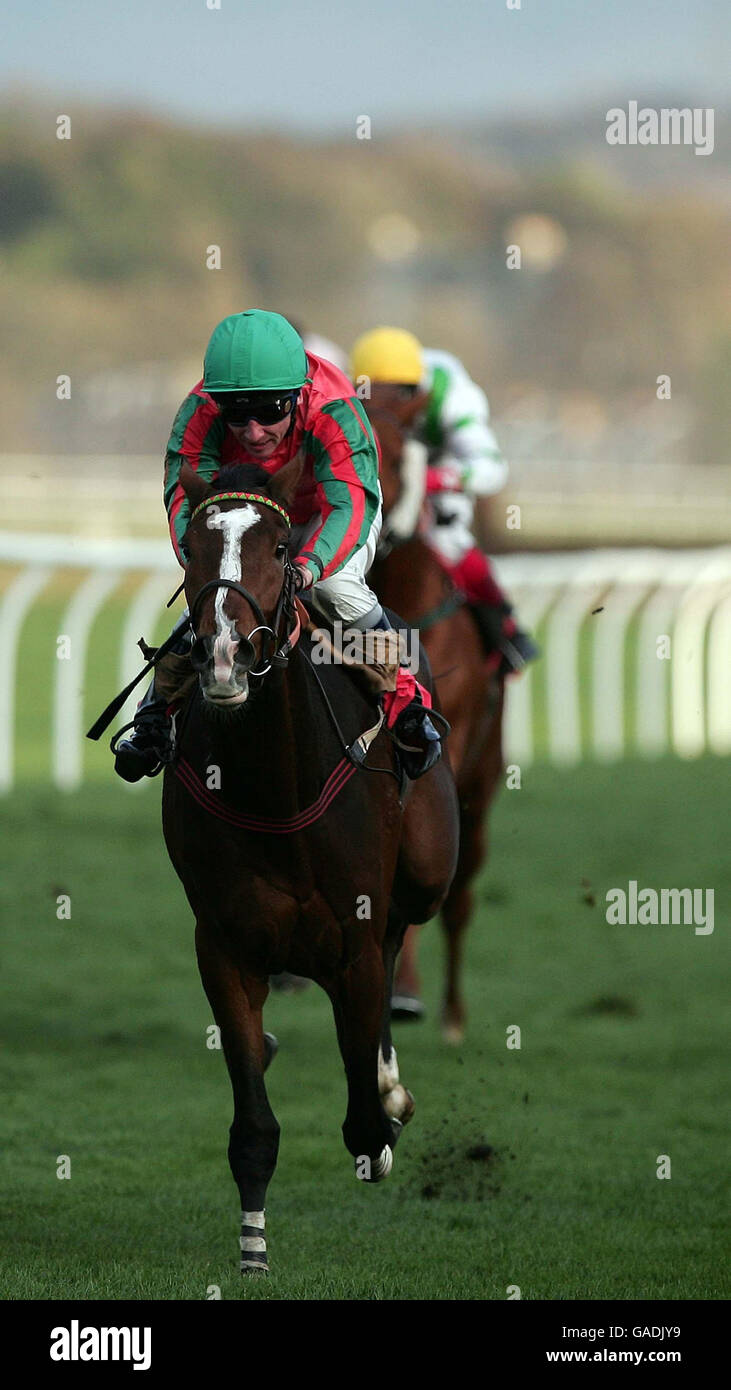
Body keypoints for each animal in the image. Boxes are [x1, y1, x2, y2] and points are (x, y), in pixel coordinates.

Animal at [159, 455, 458, 1273]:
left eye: (280, 544)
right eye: (194, 547)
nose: (223, 655)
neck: (275, 786)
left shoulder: (351, 938)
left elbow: (362, 1123)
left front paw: (382, 1117)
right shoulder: (224, 947)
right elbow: (253, 1125)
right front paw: (253, 1249)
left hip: (424, 871)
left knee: (400, 935)